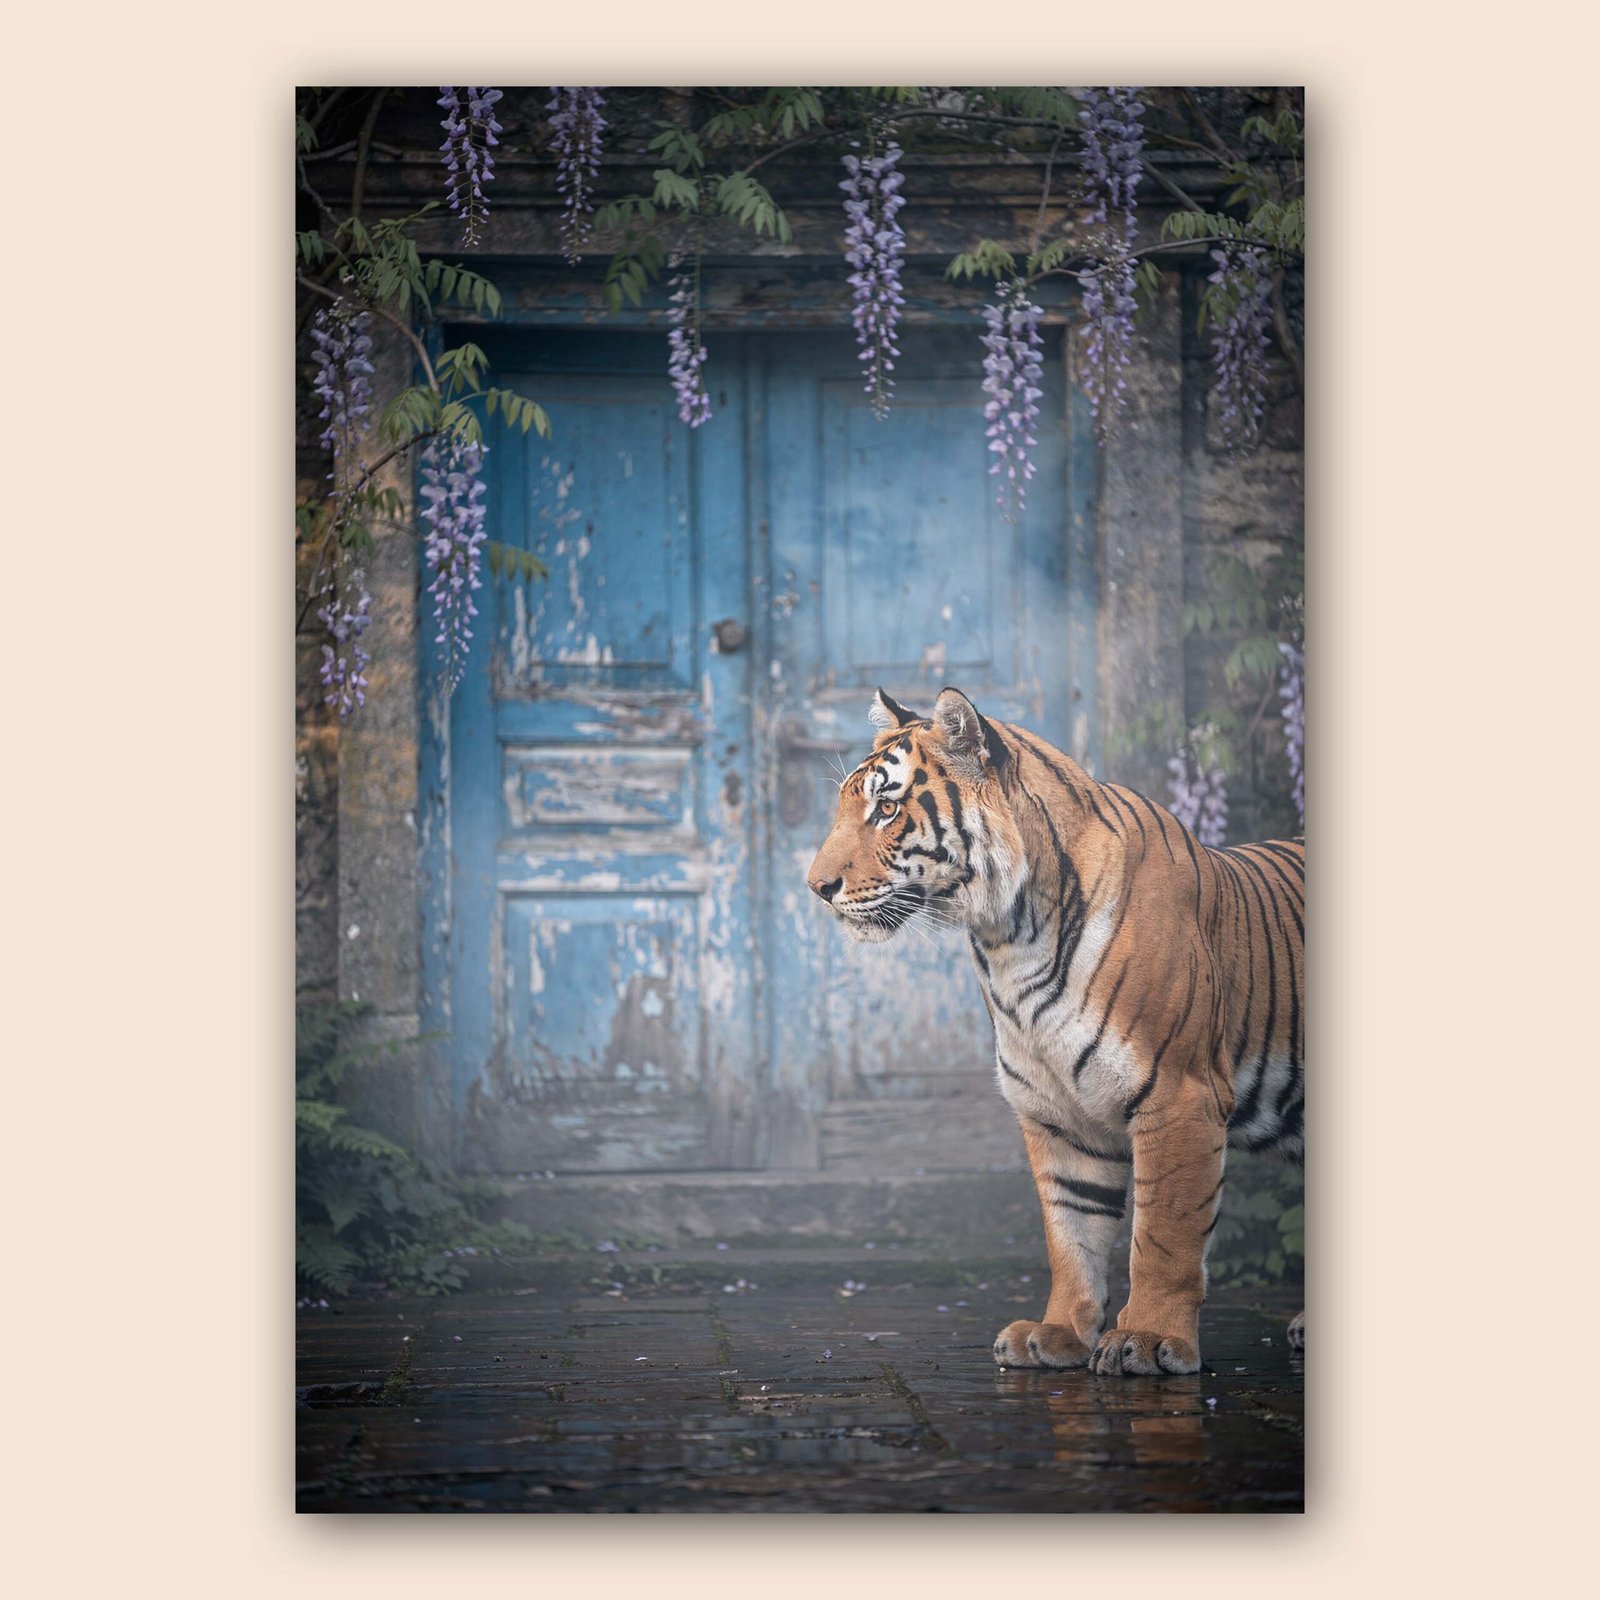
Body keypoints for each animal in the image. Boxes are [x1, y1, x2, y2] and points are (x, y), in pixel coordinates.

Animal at [806, 685, 1305, 1375]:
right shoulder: (1056, 1111)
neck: (1008, 941)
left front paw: (1149, 1340)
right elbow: (1072, 1232)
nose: (815, 888)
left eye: (886, 807)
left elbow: (1164, 1235)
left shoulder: (1180, 1097)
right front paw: (1060, 1332)